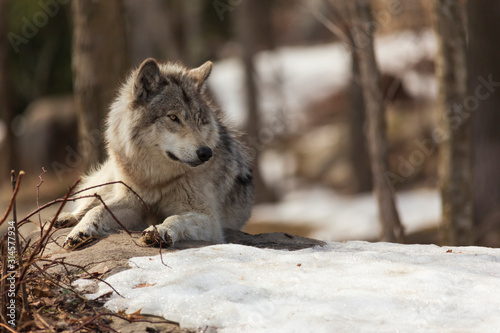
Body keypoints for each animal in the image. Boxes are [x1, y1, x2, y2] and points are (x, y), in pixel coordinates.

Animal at [58, 57, 254, 249]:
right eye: (173, 117)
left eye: (198, 120)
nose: (206, 153)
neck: (155, 180)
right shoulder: (131, 202)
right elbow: (97, 209)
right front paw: (81, 230)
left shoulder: (210, 221)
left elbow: (176, 217)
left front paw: (160, 230)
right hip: (108, 179)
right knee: (90, 200)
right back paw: (66, 219)